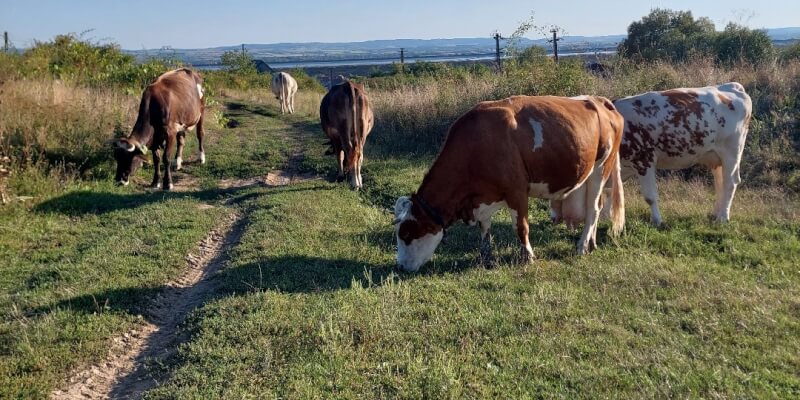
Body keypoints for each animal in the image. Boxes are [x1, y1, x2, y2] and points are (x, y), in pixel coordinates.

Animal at [392, 95, 624, 274]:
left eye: (407, 234)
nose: (401, 267)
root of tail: (599, 100)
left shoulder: (517, 191)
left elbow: (521, 227)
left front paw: (528, 257)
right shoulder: (482, 198)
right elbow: (484, 227)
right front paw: (486, 256)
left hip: (601, 168)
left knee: (593, 210)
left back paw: (582, 246)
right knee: (597, 206)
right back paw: (592, 242)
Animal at [612, 82, 752, 225]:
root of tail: (732, 86)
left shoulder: (644, 160)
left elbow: (650, 197)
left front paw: (657, 221)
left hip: (731, 153)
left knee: (730, 182)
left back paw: (722, 217)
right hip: (716, 158)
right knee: (720, 183)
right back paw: (715, 214)